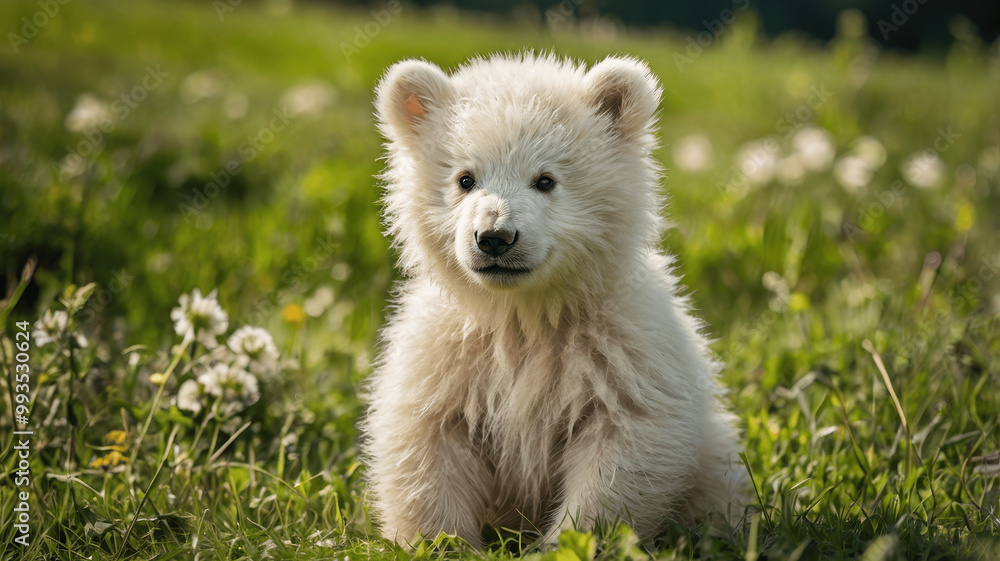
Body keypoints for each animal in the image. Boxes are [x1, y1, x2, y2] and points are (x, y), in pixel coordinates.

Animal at [363, 52, 747, 548]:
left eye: (545, 180)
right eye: (465, 178)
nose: (495, 237)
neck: (526, 312)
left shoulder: (623, 357)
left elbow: (620, 453)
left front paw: (567, 542)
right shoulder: (449, 358)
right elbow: (426, 441)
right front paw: (444, 543)